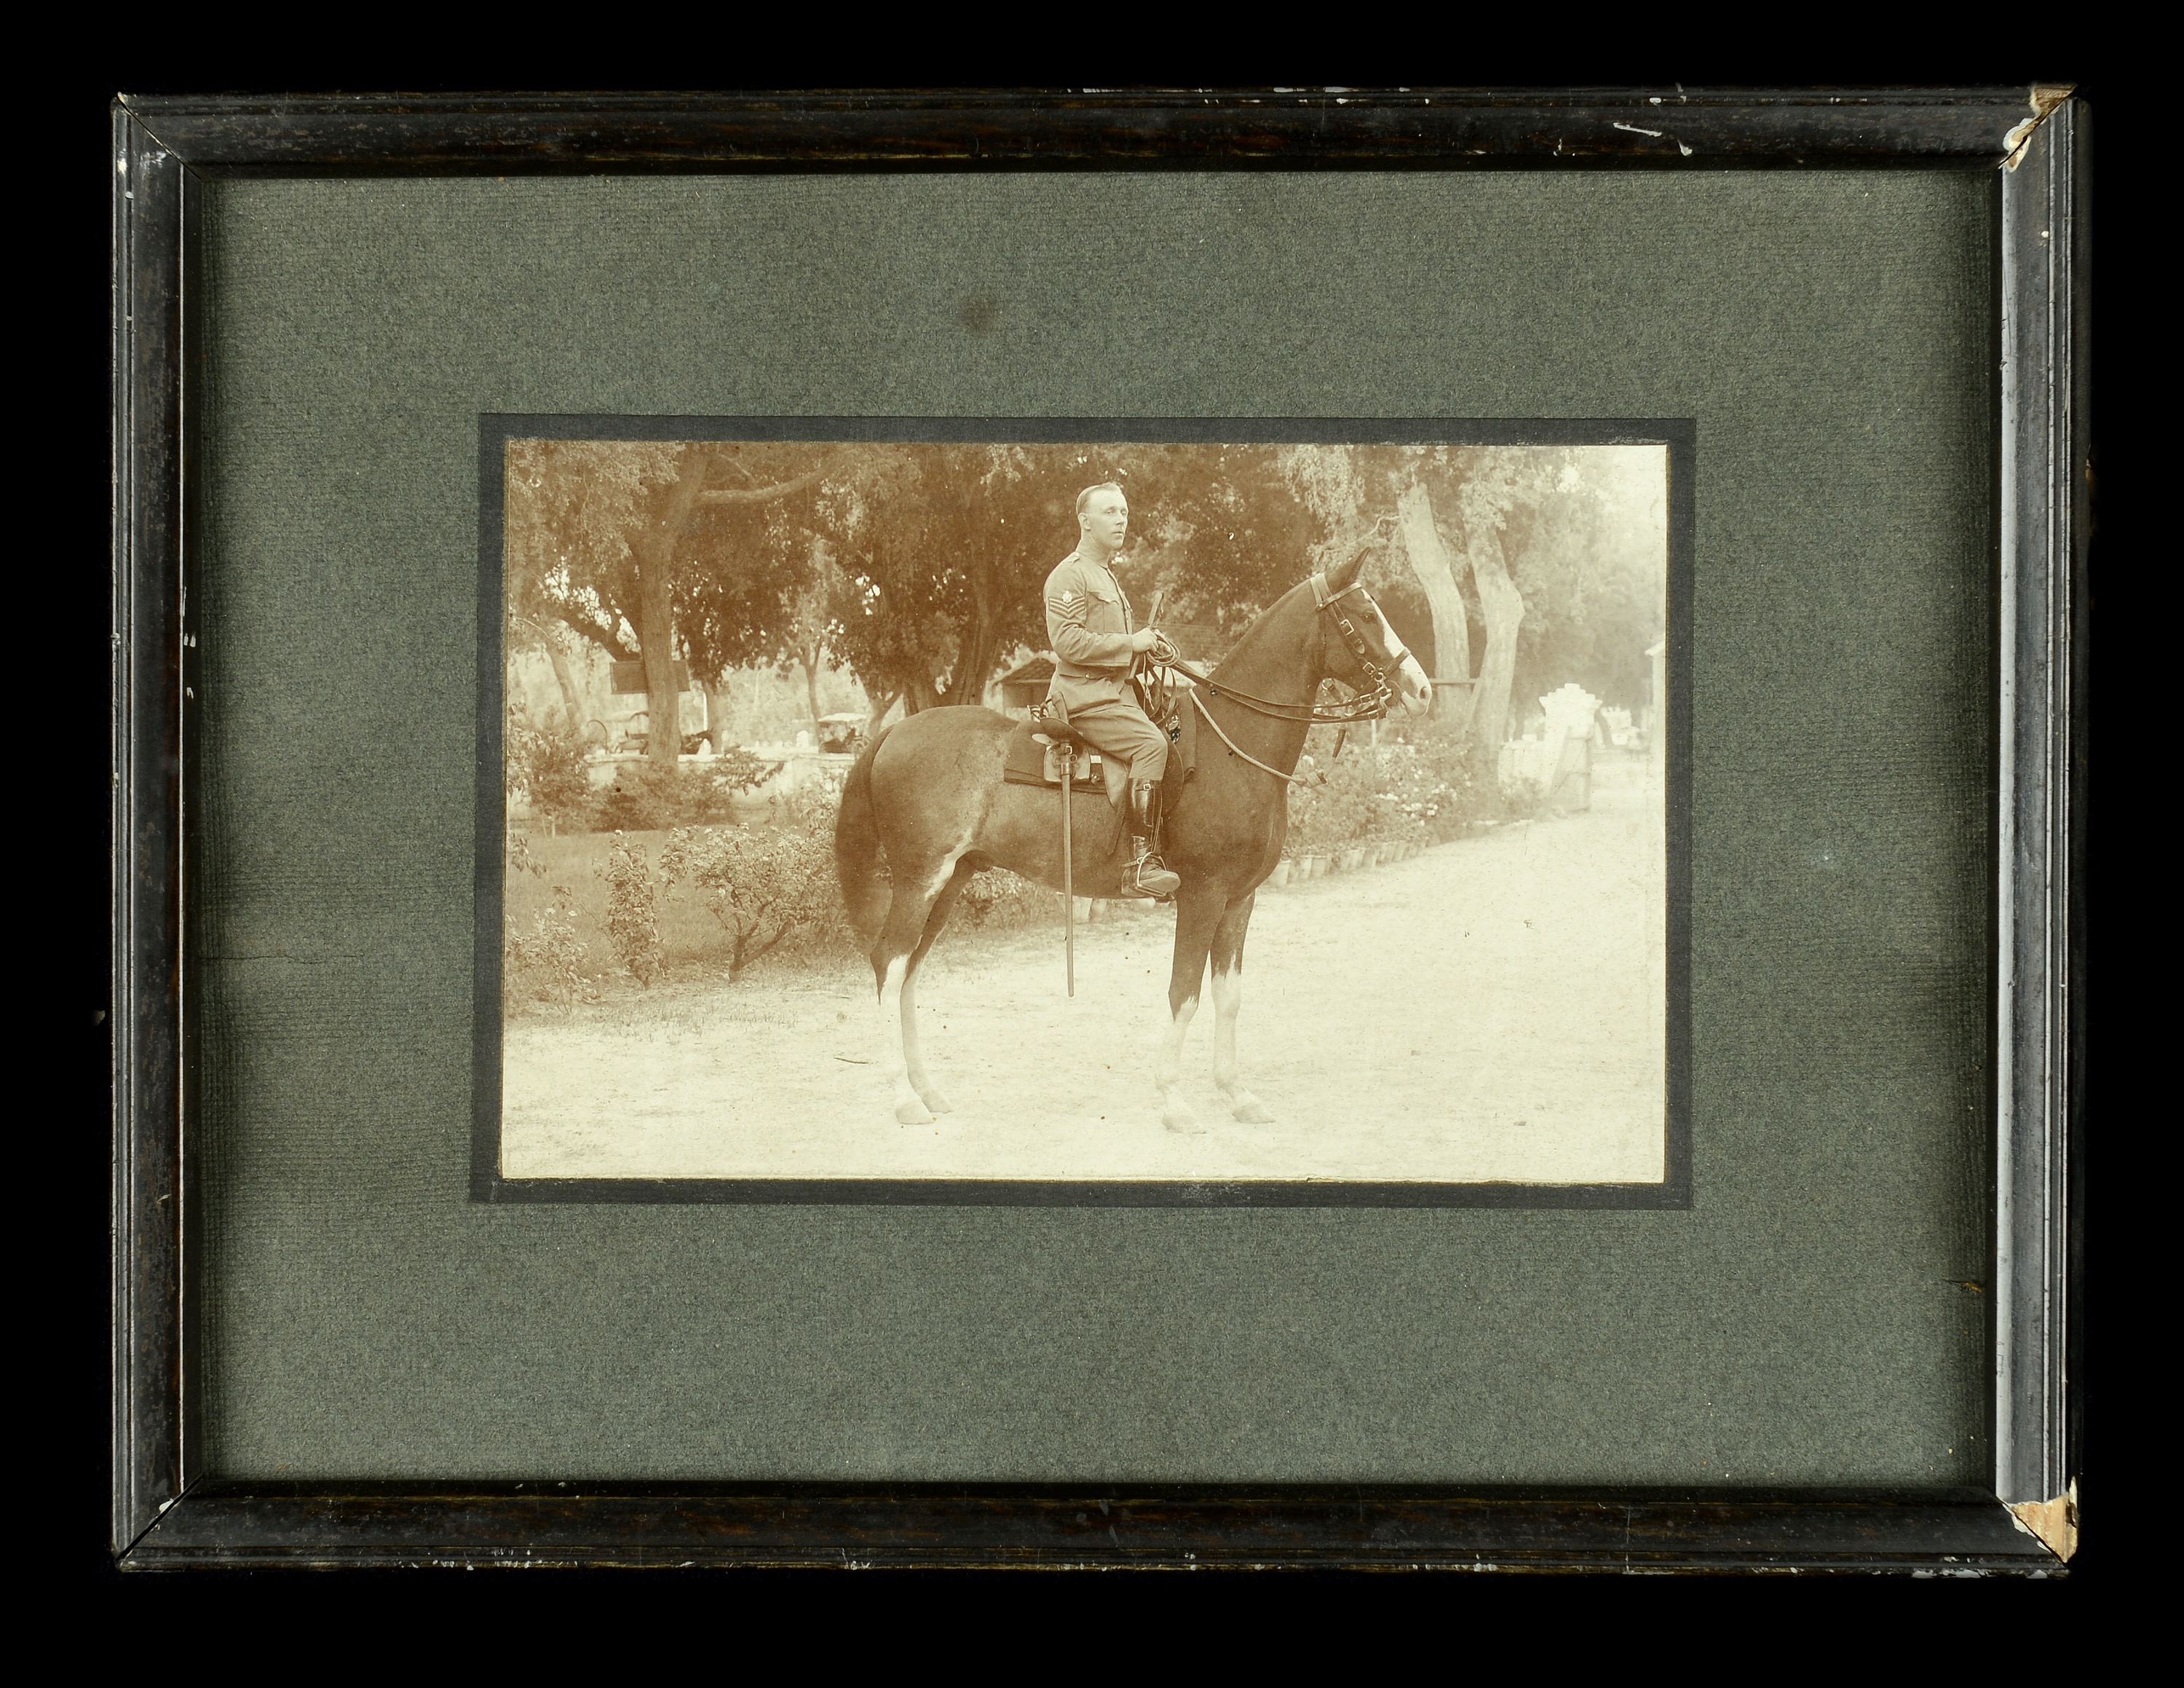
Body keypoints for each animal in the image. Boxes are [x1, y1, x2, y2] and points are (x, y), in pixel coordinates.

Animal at [830, 537, 1433, 1135]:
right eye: (1365, 615)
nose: (1422, 688)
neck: (1232, 747)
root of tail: (892, 733)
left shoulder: (1240, 900)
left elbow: (1229, 997)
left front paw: (1237, 1094)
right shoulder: (1203, 896)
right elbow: (1184, 993)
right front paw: (1174, 1102)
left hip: (950, 883)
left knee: (908, 971)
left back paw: (927, 1090)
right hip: (920, 882)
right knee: (889, 962)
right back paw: (905, 1098)